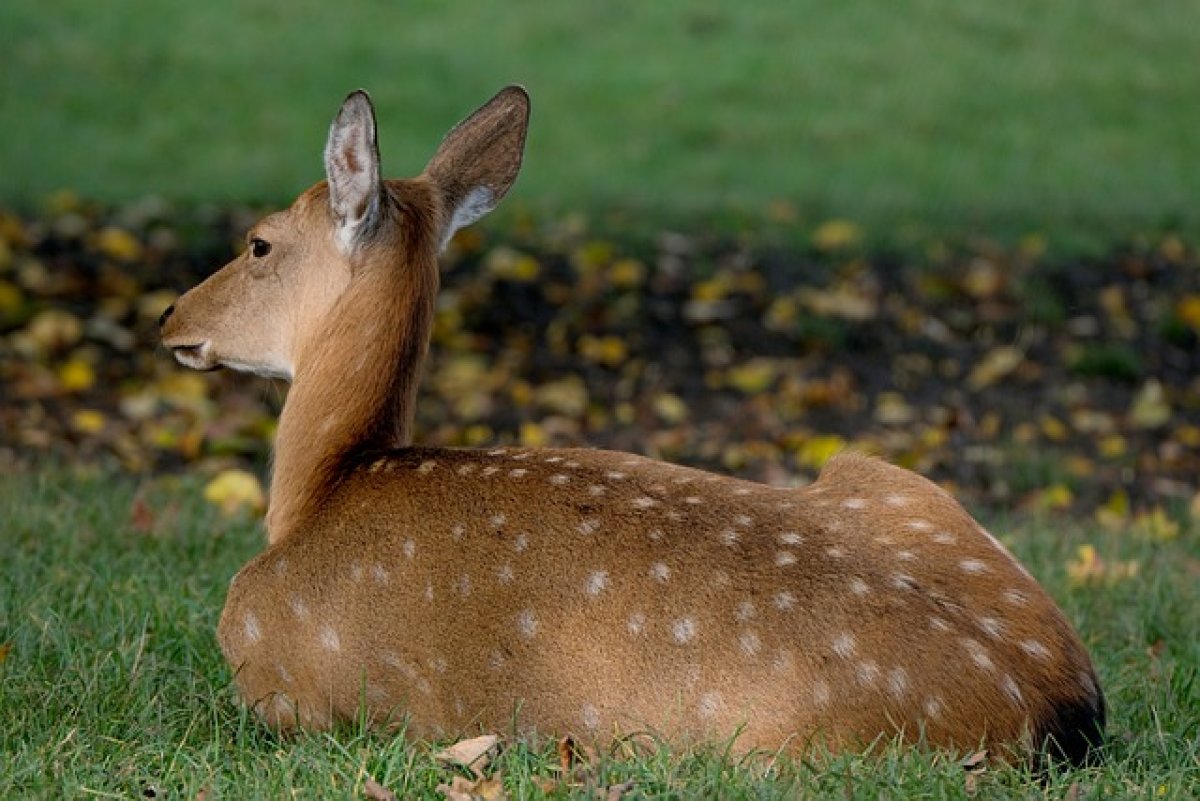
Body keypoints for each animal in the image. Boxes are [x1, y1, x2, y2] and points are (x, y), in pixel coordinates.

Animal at [159, 84, 1104, 767]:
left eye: (259, 244)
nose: (170, 316)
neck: (323, 486)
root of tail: (1060, 706)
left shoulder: (279, 673)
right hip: (883, 473)